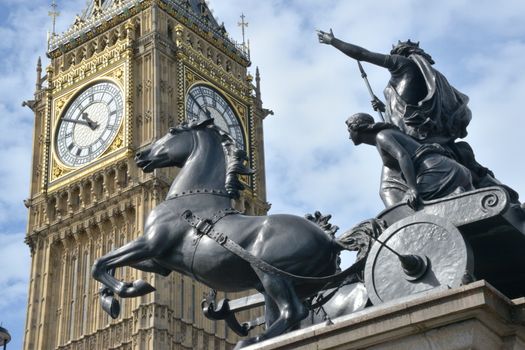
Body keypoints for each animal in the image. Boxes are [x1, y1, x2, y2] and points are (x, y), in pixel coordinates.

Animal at [92, 118, 350, 348]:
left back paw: (254, 340)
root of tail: (331, 242)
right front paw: (116, 296)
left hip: (271, 273)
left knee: (293, 311)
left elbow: (100, 263)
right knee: (288, 315)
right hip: (284, 282)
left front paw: (127, 290)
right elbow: (108, 263)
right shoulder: (160, 261)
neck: (192, 195)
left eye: (173, 131)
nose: (140, 156)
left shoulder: (150, 243)